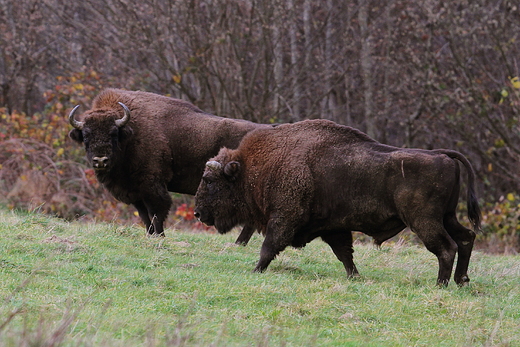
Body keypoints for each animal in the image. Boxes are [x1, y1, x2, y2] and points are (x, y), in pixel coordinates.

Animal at [69, 87, 272, 239]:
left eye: (113, 134)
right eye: (85, 136)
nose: (100, 160)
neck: (131, 131)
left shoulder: (152, 186)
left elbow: (157, 213)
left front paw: (160, 236)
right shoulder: (136, 193)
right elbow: (145, 217)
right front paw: (151, 236)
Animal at [195, 118, 484, 286]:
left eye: (209, 180)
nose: (198, 213)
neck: (253, 167)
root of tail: (442, 155)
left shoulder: (284, 218)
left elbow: (269, 247)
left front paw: (255, 270)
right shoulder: (334, 228)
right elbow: (344, 253)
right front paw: (354, 277)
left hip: (424, 221)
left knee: (446, 248)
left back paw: (441, 284)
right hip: (447, 216)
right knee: (466, 238)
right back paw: (461, 280)